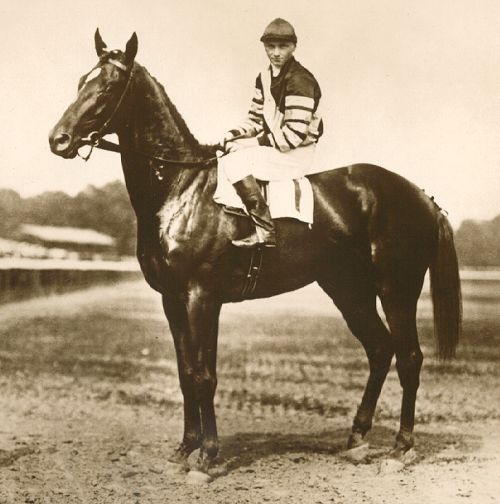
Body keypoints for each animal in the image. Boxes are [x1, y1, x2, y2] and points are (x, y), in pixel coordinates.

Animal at [49, 30, 460, 472]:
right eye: (81, 82)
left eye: (108, 86)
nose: (59, 139)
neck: (181, 189)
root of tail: (422, 196)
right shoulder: (173, 300)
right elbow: (185, 372)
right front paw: (185, 449)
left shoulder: (202, 297)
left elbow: (204, 375)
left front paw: (207, 456)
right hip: (349, 290)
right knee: (381, 350)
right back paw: (356, 437)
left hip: (397, 289)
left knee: (410, 357)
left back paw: (401, 447)